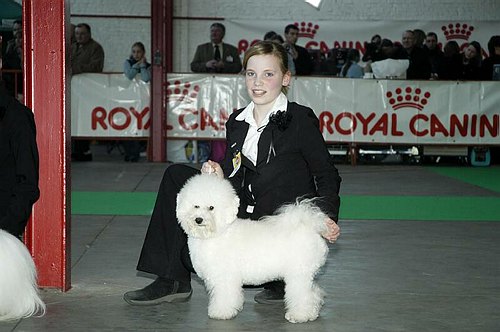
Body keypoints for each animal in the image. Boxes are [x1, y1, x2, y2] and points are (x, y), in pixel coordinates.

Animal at [178, 175, 330, 322]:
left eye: (211, 207)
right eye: (196, 206)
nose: (199, 219)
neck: (218, 232)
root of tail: (309, 227)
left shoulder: (225, 277)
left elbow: (224, 297)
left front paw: (220, 313)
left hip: (298, 273)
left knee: (303, 295)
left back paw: (299, 315)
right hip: (305, 274)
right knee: (313, 292)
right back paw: (312, 313)